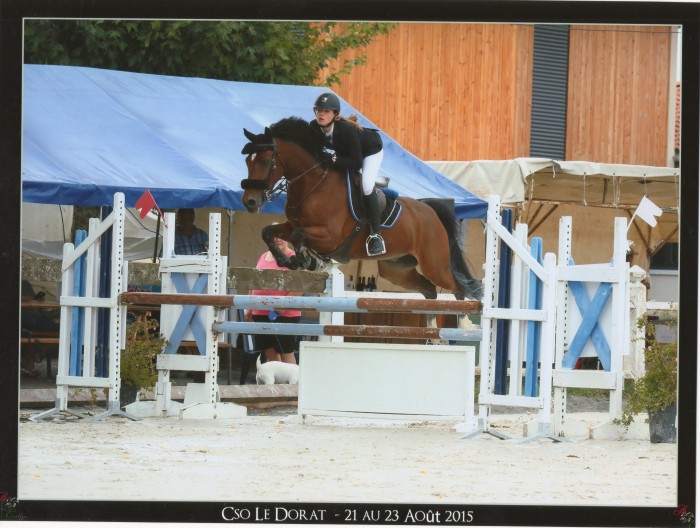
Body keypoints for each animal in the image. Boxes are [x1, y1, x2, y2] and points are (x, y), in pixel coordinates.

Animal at [240, 116, 482, 300]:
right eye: (247, 161)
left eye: (264, 161)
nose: (249, 202)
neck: (313, 185)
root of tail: (429, 211)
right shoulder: (292, 225)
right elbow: (269, 232)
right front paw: (284, 260)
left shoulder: (330, 237)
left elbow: (298, 237)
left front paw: (305, 260)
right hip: (396, 269)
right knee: (429, 290)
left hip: (434, 264)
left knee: (458, 288)